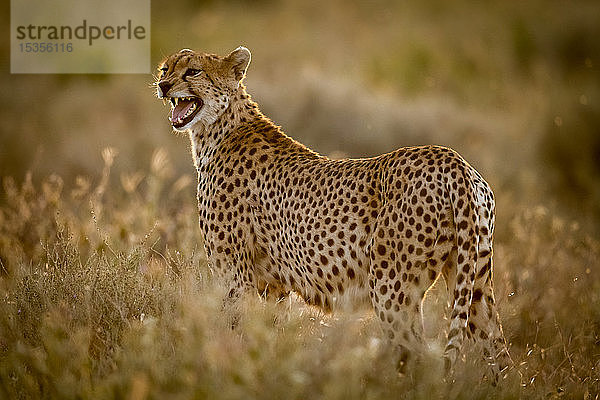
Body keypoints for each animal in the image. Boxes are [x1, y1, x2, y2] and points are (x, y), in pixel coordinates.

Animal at [154, 47, 510, 382]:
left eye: (193, 71)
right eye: (165, 68)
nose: (163, 85)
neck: (220, 128)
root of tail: (452, 160)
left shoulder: (235, 278)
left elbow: (235, 335)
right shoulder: (274, 286)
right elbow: (267, 337)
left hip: (391, 289)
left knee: (418, 357)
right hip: (475, 281)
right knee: (499, 357)